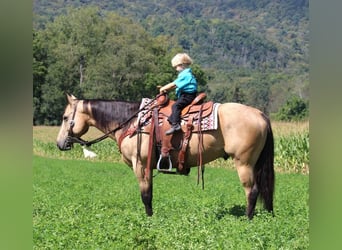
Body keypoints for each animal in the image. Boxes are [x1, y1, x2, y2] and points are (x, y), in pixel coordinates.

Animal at [56, 93, 276, 219]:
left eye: (66, 117)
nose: (59, 143)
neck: (131, 122)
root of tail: (260, 114)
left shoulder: (140, 165)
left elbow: (145, 195)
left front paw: (148, 220)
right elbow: (150, 194)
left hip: (244, 163)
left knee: (252, 191)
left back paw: (247, 220)